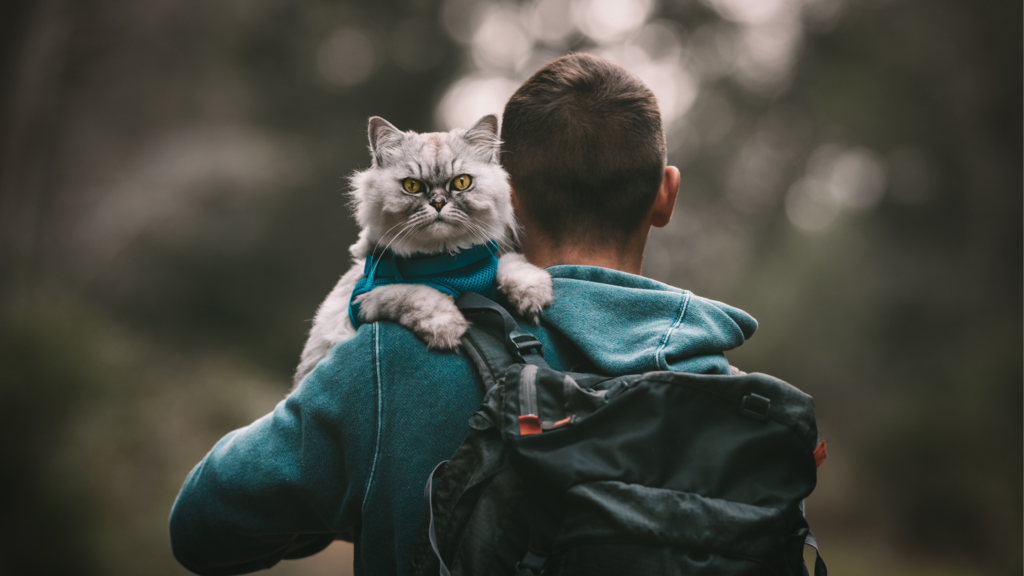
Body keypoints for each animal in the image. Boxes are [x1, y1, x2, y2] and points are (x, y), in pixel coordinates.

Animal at [292, 114, 557, 385]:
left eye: (462, 182)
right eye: (412, 186)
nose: (438, 203)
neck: (445, 262)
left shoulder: (489, 264)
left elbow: (512, 263)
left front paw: (531, 294)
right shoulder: (368, 298)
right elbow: (418, 294)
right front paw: (448, 327)